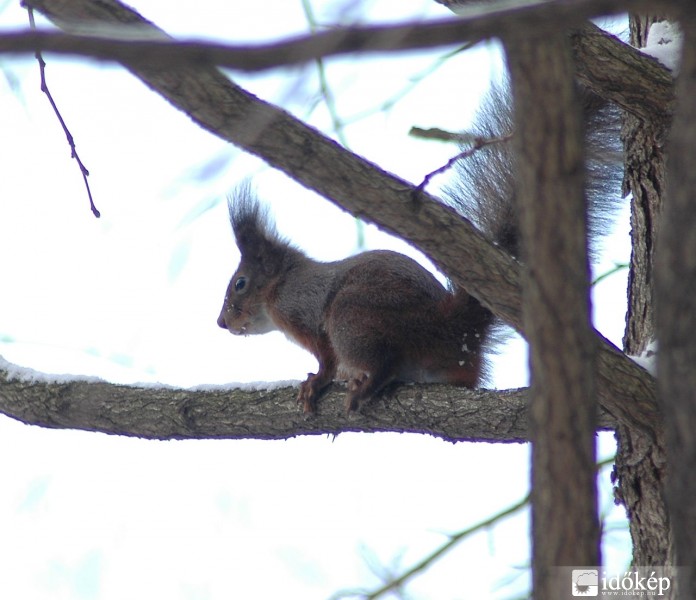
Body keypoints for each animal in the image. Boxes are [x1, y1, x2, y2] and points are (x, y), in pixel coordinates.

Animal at [216, 82, 620, 414]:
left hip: (352, 317)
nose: (222, 322)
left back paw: (367, 386)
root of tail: (454, 332)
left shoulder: (303, 309)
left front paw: (316, 382)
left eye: (240, 283)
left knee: (387, 359)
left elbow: (326, 359)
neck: (281, 285)